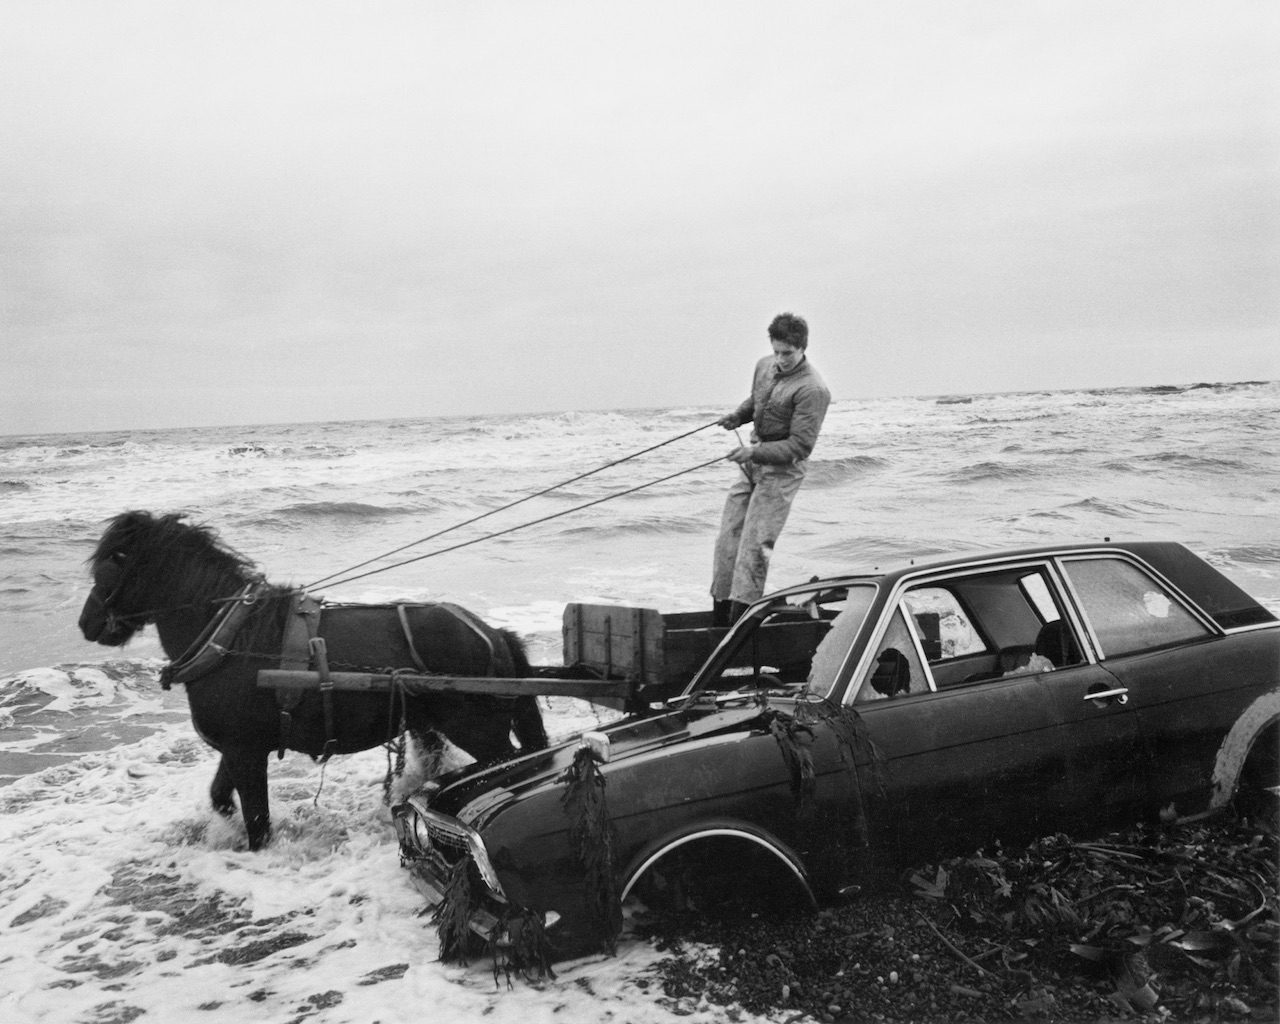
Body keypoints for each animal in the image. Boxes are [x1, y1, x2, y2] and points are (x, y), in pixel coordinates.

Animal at [74, 506, 545, 849]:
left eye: (115, 559)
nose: (87, 623)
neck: (232, 639)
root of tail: (492, 633)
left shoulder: (247, 752)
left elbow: (258, 823)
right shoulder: (237, 748)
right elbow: (220, 798)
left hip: (479, 730)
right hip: (428, 724)